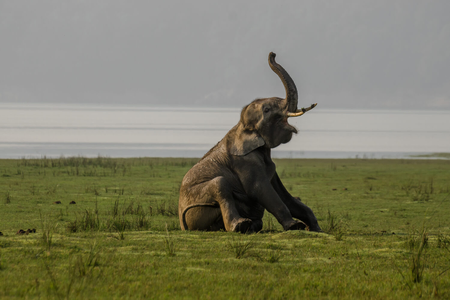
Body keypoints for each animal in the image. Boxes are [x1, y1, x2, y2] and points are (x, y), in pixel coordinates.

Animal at [178, 52, 322, 233]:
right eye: (267, 110)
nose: (273, 54)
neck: (241, 125)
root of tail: (182, 226)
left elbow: (284, 195)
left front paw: (316, 229)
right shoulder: (244, 162)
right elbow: (260, 189)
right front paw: (295, 226)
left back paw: (250, 226)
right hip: (196, 209)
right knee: (220, 184)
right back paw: (240, 225)